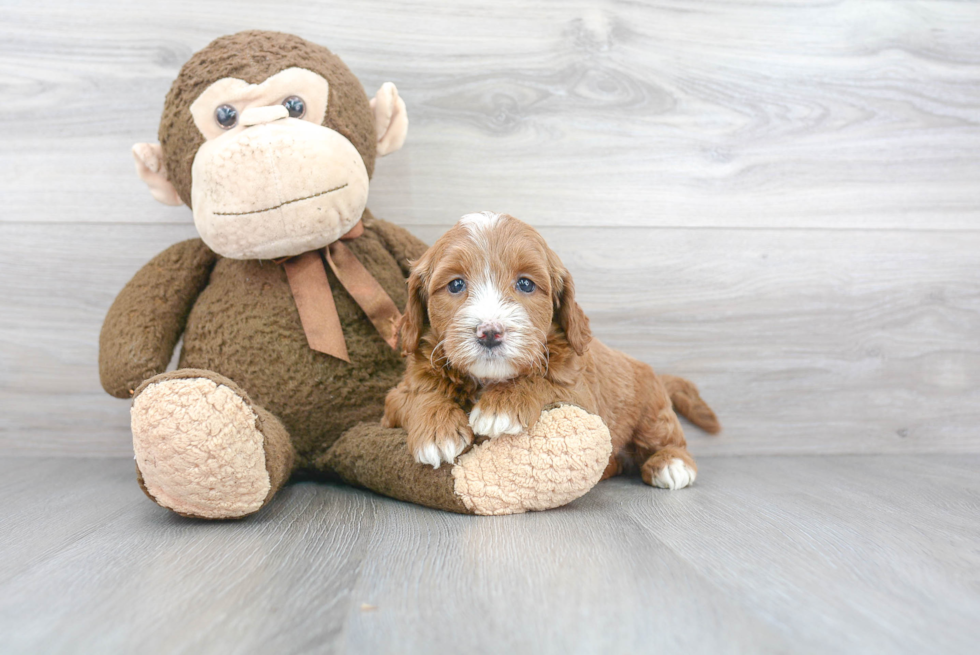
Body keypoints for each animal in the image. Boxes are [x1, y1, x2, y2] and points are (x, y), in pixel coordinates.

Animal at [382, 213, 720, 490]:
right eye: (455, 285)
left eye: (525, 284)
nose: (490, 332)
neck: (488, 380)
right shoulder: (396, 397)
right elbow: (419, 395)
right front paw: (436, 432)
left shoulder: (580, 395)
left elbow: (543, 380)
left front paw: (502, 405)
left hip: (651, 411)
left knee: (666, 438)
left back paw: (672, 464)